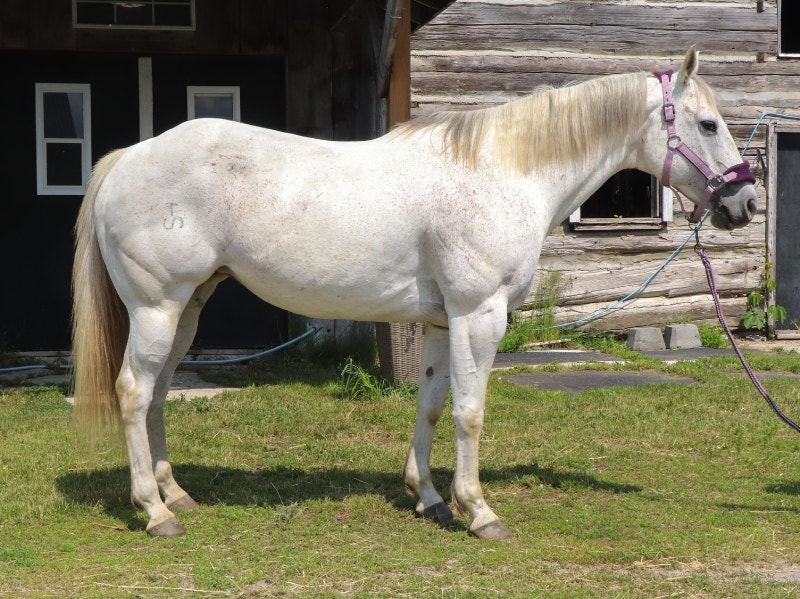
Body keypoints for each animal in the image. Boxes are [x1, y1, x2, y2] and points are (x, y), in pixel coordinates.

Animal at [72, 46, 757, 539]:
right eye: (708, 123)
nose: (744, 203)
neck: (504, 171)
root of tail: (130, 157)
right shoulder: (479, 316)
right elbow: (469, 411)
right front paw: (479, 511)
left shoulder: (440, 322)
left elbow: (429, 405)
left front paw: (428, 497)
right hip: (157, 308)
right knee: (134, 392)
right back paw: (156, 513)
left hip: (186, 308)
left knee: (159, 393)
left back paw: (176, 494)